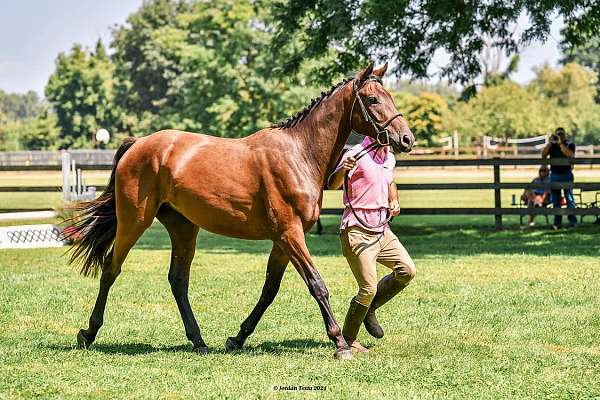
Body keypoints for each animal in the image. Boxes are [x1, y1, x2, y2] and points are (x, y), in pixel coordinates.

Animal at [65, 62, 412, 360]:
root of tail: (138, 145)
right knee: (111, 268)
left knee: (178, 280)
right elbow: (317, 285)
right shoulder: (290, 235)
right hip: (134, 221)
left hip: (183, 228)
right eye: (372, 99)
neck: (298, 154)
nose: (406, 139)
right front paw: (340, 343)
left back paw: (199, 342)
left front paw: (237, 338)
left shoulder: (283, 240)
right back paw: (88, 333)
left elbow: (269, 290)